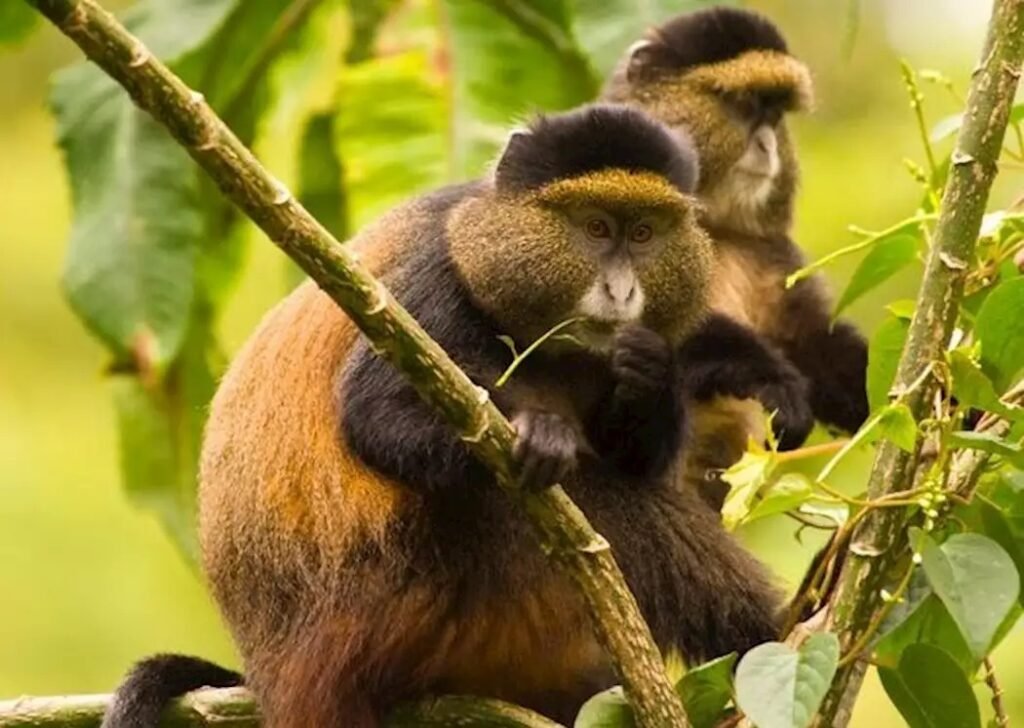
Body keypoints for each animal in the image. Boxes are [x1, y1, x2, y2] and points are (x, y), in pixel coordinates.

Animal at [102, 104, 786, 728]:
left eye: (643, 233)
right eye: (595, 227)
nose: (621, 292)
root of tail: (270, 670)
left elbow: (637, 448)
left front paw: (651, 374)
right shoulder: (434, 279)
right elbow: (375, 415)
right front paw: (544, 435)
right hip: (402, 604)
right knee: (591, 500)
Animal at [603, 6, 869, 510]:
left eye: (775, 112)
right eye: (745, 105)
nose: (767, 145)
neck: (712, 224)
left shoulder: (770, 253)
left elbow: (812, 338)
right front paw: (772, 379)